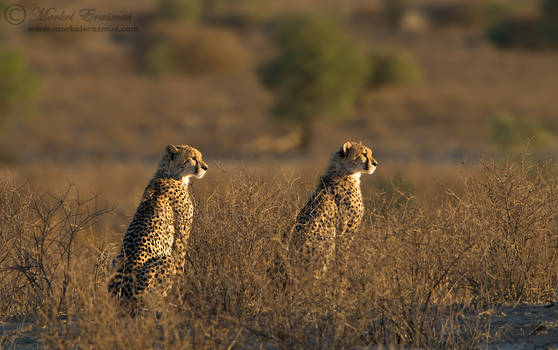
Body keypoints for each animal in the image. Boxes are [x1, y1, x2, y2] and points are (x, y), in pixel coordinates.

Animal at [107, 144, 208, 314]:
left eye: (200, 157)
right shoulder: (181, 237)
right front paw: (179, 300)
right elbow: (180, 269)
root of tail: (121, 299)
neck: (169, 173)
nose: (205, 168)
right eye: (193, 158)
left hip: (117, 259)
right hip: (164, 260)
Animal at [272, 141, 378, 286]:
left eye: (371, 153)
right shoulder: (346, 231)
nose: (375, 163)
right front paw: (342, 281)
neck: (346, 173)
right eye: (363, 154)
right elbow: (343, 257)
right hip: (327, 240)